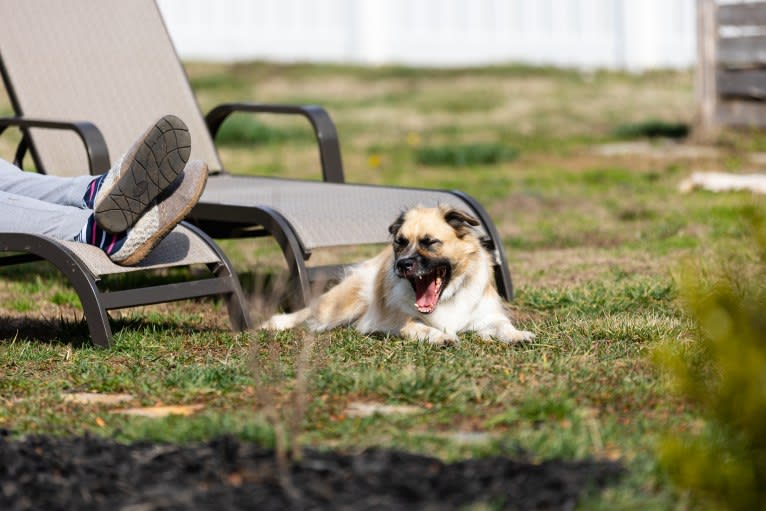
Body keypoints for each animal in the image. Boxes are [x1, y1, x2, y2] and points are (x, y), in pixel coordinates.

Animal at [260, 206, 536, 346]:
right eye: (400, 243)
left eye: (430, 242)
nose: (402, 265)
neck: (447, 298)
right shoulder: (395, 322)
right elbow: (421, 327)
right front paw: (442, 337)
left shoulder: (487, 317)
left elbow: (503, 325)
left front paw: (518, 336)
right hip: (340, 307)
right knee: (308, 313)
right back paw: (275, 323)